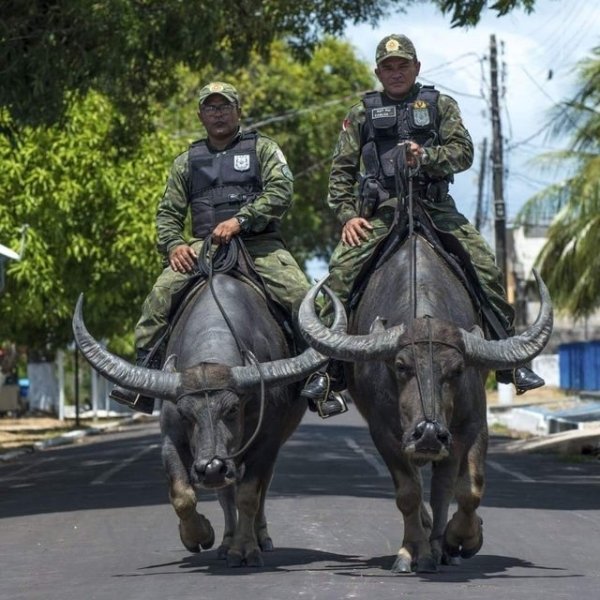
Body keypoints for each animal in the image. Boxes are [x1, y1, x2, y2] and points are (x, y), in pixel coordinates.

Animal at [74, 276, 344, 568]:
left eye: (233, 408)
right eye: (185, 414)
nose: (211, 468)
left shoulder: (267, 442)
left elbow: (249, 496)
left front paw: (246, 549)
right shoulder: (171, 439)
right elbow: (182, 495)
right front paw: (200, 536)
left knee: (259, 490)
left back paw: (260, 538)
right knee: (225, 495)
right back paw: (226, 542)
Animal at [300, 232, 552, 576]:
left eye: (457, 369)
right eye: (401, 365)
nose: (429, 433)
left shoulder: (471, 424)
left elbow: (463, 489)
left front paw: (458, 541)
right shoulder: (385, 433)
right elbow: (409, 493)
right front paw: (413, 552)